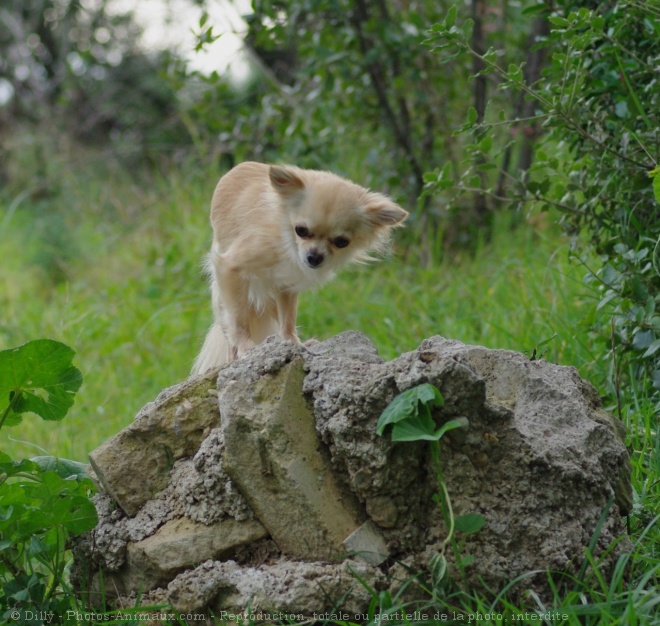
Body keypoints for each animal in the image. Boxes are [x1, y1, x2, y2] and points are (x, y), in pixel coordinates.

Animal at [192, 162, 408, 376]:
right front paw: (245, 347)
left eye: (341, 242)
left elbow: (288, 318)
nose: (314, 257)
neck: (287, 242)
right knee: (229, 324)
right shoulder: (230, 268)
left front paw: (293, 343)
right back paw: (232, 358)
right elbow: (238, 321)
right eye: (301, 230)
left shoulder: (287, 285)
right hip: (224, 296)